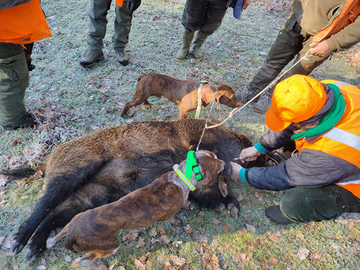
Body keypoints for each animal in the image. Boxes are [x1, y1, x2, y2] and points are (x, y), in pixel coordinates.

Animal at [46, 150, 224, 266]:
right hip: (110, 247)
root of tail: (73, 235)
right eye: (216, 162)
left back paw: (51, 240)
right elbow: (171, 218)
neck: (180, 177)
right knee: (81, 259)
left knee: (58, 235)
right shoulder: (169, 213)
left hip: (75, 219)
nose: (225, 162)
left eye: (215, 155)